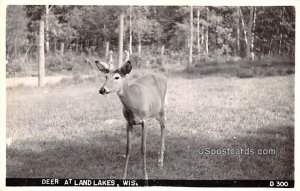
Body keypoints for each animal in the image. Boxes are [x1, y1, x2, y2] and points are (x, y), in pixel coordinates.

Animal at [94, 51, 166, 180]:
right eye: (106, 77)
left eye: (117, 77)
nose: (102, 90)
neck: (134, 104)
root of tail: (164, 77)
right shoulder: (128, 122)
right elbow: (128, 148)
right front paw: (123, 176)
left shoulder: (144, 120)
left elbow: (143, 148)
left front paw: (145, 176)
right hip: (155, 112)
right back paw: (163, 151)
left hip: (161, 107)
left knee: (163, 126)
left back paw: (160, 161)